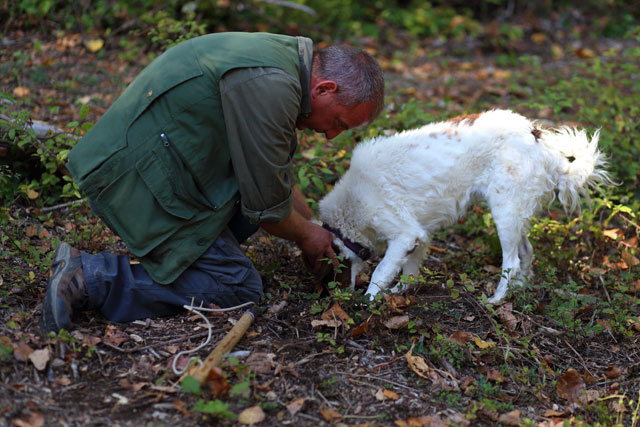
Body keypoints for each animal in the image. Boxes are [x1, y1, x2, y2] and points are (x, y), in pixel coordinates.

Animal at [318, 110, 612, 304]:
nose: (336, 294)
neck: (352, 204)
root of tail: (539, 139)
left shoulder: (404, 234)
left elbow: (380, 271)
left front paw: (368, 301)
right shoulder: (420, 236)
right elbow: (409, 272)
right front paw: (400, 292)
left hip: (504, 212)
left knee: (512, 262)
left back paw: (496, 300)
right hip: (516, 213)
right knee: (526, 254)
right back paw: (518, 292)